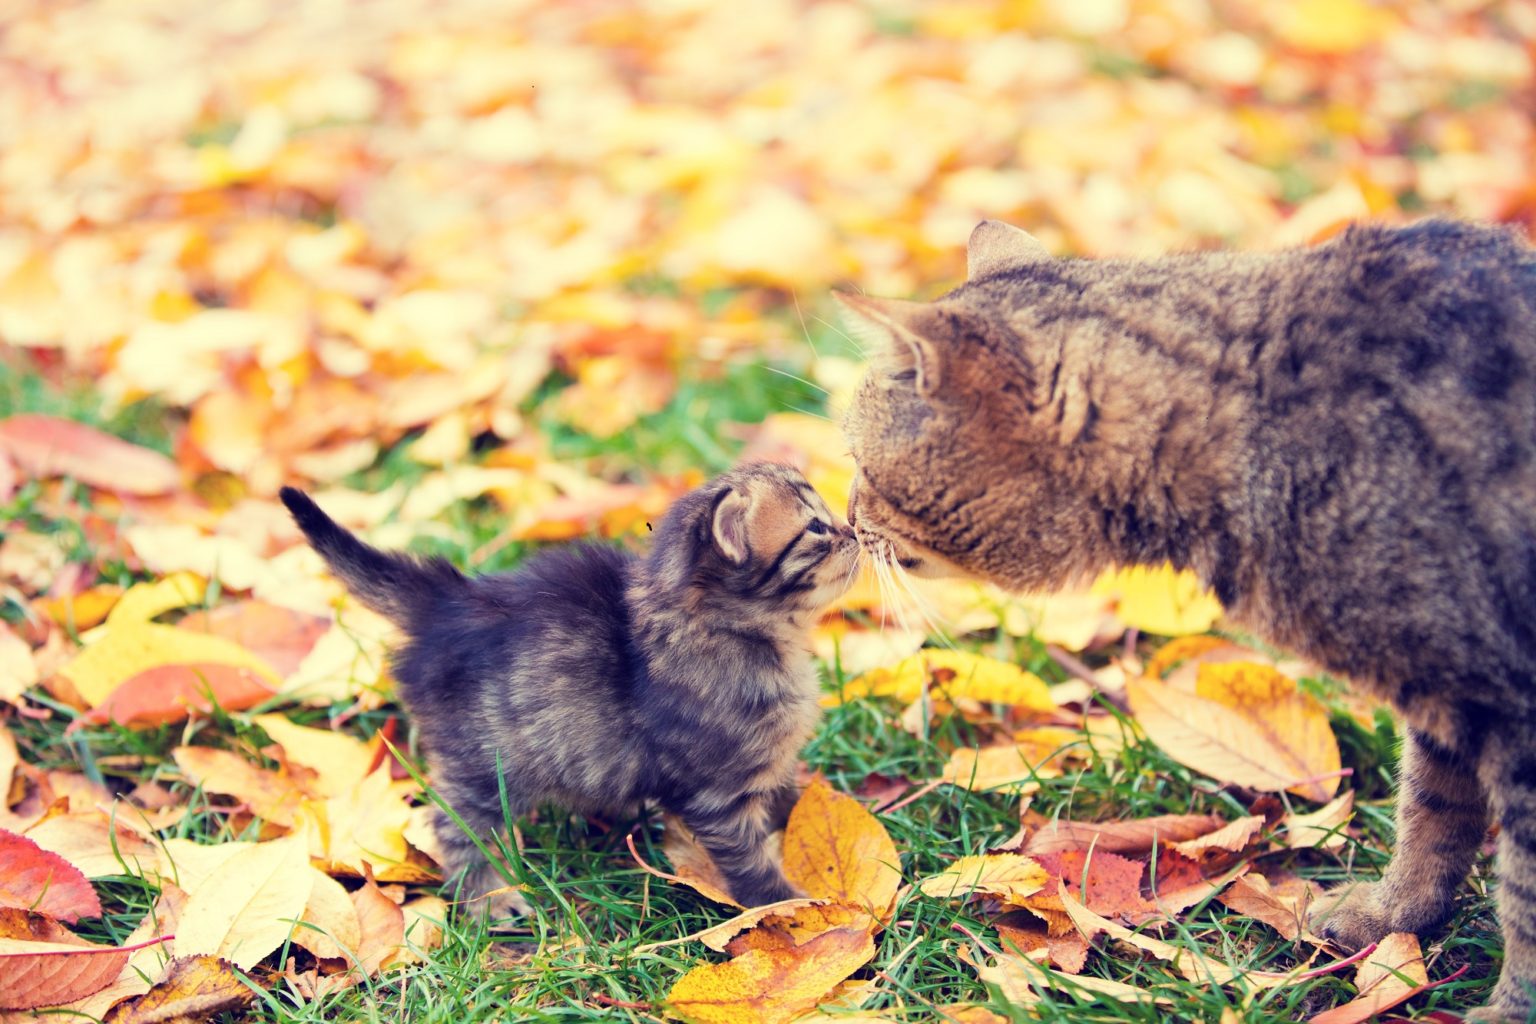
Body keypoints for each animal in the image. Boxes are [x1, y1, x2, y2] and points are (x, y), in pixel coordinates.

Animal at [282, 463, 860, 914]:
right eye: (816, 527)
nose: (854, 529)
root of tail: (446, 601)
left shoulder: (766, 764)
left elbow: (786, 794)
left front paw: (821, 809)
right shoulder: (717, 793)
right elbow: (750, 861)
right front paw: (791, 906)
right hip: (485, 762)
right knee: (455, 825)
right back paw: (489, 901)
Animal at [841, 221, 1536, 1019]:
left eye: (859, 462)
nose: (844, 518)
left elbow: (1523, 889)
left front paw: (1513, 1004)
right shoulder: (1445, 688)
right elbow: (1432, 813)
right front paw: (1396, 919)